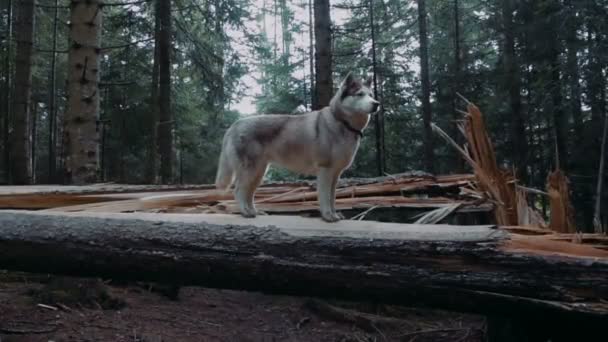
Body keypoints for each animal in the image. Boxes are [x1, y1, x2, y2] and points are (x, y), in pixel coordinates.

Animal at [216, 73, 380, 222]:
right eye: (360, 94)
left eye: (371, 95)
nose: (376, 103)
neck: (342, 122)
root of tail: (235, 124)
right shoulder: (325, 171)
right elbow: (325, 198)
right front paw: (328, 216)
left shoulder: (336, 174)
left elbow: (332, 198)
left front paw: (334, 214)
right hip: (251, 171)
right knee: (238, 190)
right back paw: (246, 213)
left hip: (258, 173)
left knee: (248, 194)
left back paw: (254, 211)